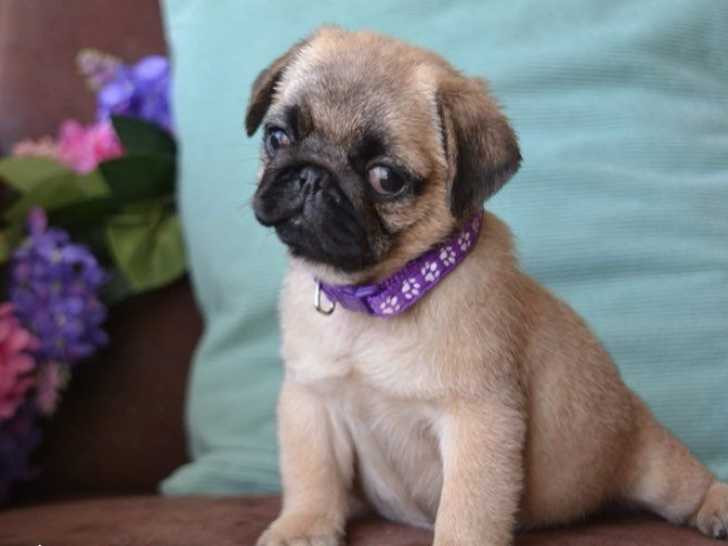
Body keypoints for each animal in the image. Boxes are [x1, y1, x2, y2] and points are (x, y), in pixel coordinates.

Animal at [247, 26, 728, 546]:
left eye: (386, 178)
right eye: (277, 136)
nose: (311, 174)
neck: (374, 297)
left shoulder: (479, 421)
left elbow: (468, 509)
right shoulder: (310, 402)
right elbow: (311, 475)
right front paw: (301, 527)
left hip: (651, 463)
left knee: (686, 485)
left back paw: (715, 504)